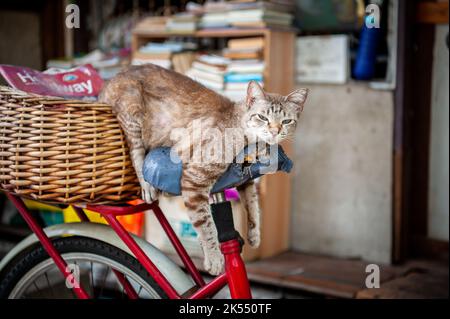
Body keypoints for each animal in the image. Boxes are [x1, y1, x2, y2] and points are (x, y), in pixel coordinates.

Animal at [100, 64, 308, 276]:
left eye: (286, 121)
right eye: (262, 117)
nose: (274, 131)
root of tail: (112, 78)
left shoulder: (245, 180)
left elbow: (253, 204)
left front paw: (254, 233)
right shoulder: (196, 179)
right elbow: (206, 223)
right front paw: (214, 258)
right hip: (132, 113)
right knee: (136, 153)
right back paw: (147, 186)